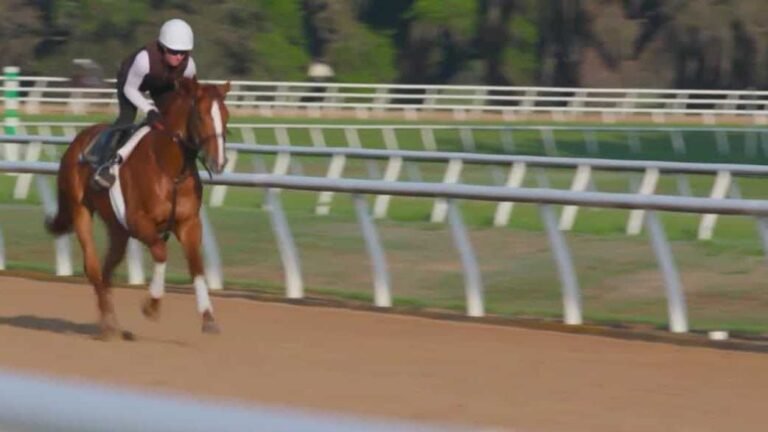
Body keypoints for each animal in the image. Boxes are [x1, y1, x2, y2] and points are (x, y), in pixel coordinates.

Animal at [44, 77, 231, 339]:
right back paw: (107, 326)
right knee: (93, 266)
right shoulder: (138, 221)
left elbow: (196, 265)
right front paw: (152, 305)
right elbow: (161, 251)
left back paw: (111, 321)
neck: (169, 168)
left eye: (226, 115)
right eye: (201, 115)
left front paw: (208, 317)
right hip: (81, 211)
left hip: (117, 229)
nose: (219, 162)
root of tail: (76, 143)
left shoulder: (189, 223)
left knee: (107, 269)